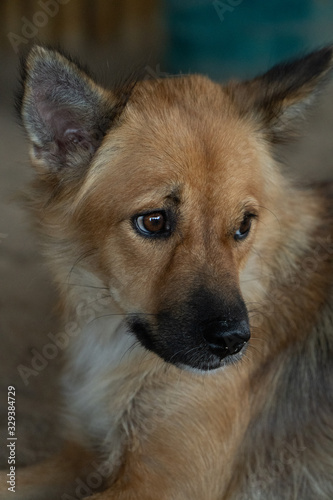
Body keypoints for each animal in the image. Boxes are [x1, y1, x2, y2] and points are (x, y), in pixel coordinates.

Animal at [0, 45, 332, 498]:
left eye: (243, 226)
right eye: (154, 222)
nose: (233, 342)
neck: (113, 334)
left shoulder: (163, 484)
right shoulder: (81, 456)